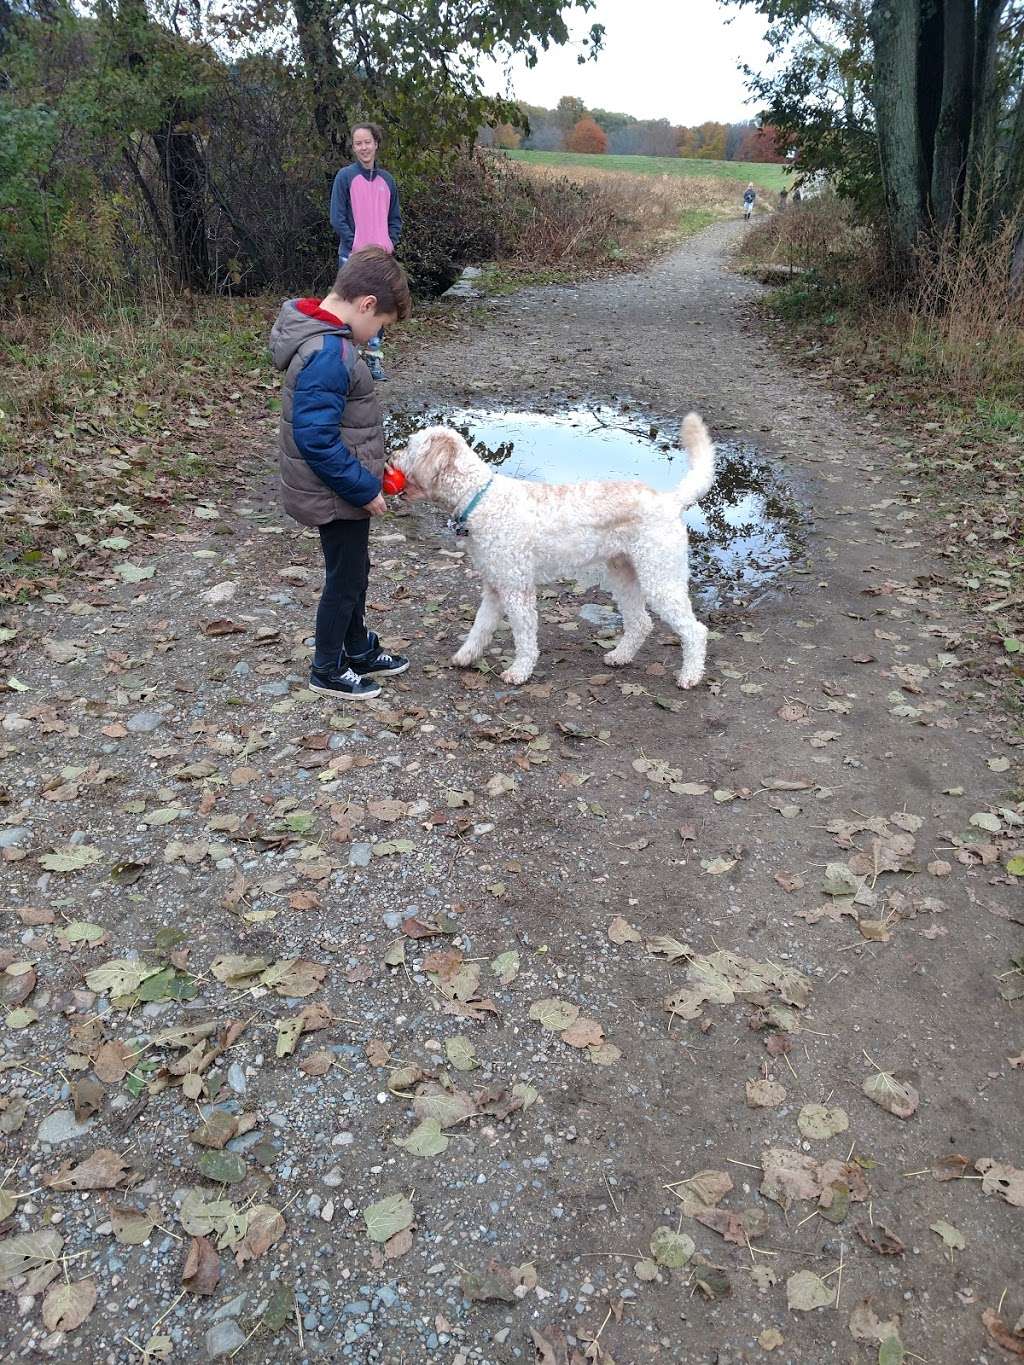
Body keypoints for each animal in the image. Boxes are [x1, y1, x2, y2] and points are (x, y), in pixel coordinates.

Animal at [395, 409, 715, 687]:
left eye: (410, 446)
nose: (390, 458)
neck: (480, 499)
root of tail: (670, 500)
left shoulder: (517, 590)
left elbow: (524, 637)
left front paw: (519, 671)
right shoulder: (495, 587)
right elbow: (480, 627)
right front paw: (465, 656)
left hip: (661, 579)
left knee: (695, 631)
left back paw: (690, 676)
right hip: (625, 576)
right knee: (641, 622)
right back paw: (620, 656)